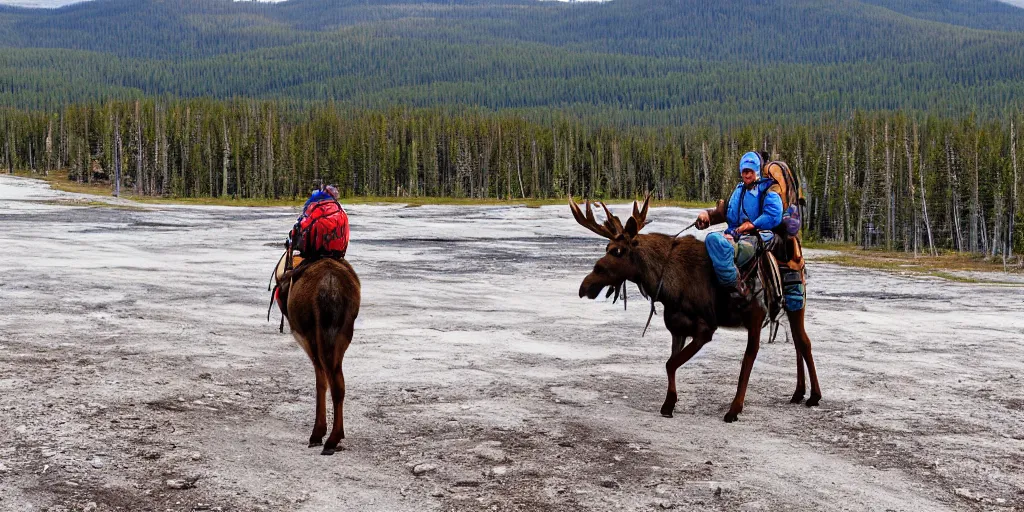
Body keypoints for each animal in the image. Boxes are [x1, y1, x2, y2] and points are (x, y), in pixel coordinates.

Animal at [274, 258, 362, 454]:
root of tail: (331, 287)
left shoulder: (306, 339)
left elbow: (320, 382)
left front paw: (318, 433)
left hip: (316, 336)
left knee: (330, 379)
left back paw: (326, 438)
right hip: (342, 334)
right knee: (338, 382)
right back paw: (335, 436)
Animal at [573, 193, 819, 421]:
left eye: (617, 251)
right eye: (607, 247)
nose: (585, 286)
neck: (665, 285)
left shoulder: (705, 329)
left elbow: (671, 363)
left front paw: (670, 404)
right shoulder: (677, 328)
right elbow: (670, 364)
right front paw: (669, 404)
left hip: (770, 312)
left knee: (777, 348)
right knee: (796, 342)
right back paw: (798, 393)